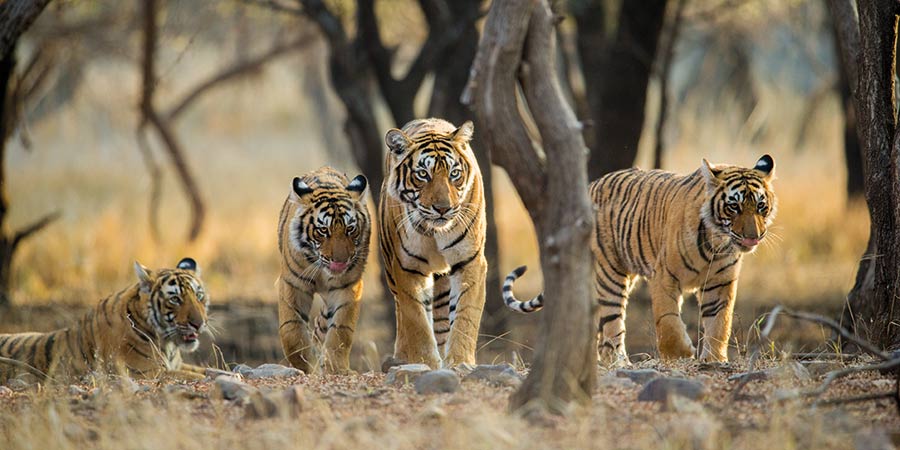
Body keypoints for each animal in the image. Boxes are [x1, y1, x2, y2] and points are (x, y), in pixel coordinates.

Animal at [0, 258, 209, 383]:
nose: (199, 324)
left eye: (199, 296)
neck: (168, 345)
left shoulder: (177, 365)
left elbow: (208, 370)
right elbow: (195, 376)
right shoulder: (146, 372)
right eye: (175, 299)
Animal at [276, 166, 370, 374]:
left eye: (350, 229)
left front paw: (335, 368)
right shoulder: (293, 284)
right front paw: (304, 365)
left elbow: (340, 330)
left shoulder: (348, 287)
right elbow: (291, 330)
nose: (341, 261)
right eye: (323, 230)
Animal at [380, 118, 487, 369]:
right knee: (403, 313)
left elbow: (465, 315)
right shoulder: (407, 267)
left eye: (454, 174)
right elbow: (416, 320)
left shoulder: (470, 261)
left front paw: (460, 361)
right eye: (423, 174)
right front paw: (425, 362)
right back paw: (401, 356)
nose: (443, 208)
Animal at [503, 155, 777, 366]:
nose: (753, 236)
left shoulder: (720, 284)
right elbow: (667, 321)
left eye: (760, 206)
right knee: (612, 325)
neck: (716, 242)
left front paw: (714, 359)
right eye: (734, 207)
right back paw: (618, 362)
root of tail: (590, 185)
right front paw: (680, 354)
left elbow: (720, 322)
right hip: (610, 274)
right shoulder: (664, 277)